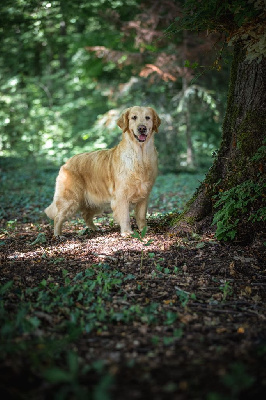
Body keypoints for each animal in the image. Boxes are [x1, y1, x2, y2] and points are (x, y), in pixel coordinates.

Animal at [44, 107, 161, 238]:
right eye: (134, 117)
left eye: (147, 117)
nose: (142, 128)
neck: (140, 155)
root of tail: (66, 163)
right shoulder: (121, 195)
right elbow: (125, 216)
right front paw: (126, 232)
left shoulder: (144, 195)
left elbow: (141, 216)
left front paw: (144, 229)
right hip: (70, 199)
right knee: (58, 217)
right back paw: (58, 234)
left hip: (95, 201)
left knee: (86, 215)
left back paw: (96, 229)